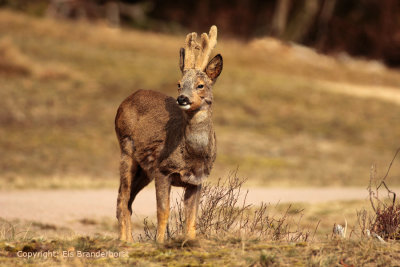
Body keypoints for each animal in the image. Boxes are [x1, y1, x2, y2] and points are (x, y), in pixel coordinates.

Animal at [115, 26, 222, 244]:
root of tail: (125, 101)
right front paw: (159, 242)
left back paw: (128, 239)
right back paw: (125, 241)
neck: (192, 154)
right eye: (179, 84)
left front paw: (189, 241)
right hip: (126, 148)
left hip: (144, 169)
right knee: (122, 197)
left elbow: (191, 217)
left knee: (127, 199)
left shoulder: (197, 180)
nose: (182, 99)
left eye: (200, 85)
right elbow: (163, 211)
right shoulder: (162, 169)